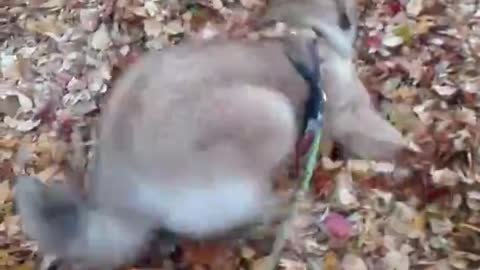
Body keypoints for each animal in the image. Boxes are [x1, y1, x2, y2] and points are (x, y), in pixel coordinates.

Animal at [14, 0, 404, 268]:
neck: (306, 30)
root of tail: (120, 194)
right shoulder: (349, 113)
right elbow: (385, 138)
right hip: (272, 115)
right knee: (249, 211)